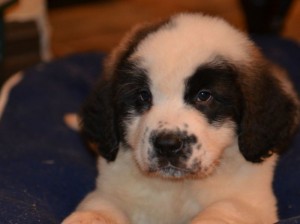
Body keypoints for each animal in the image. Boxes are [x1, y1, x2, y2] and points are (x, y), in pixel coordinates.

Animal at [62, 12, 298, 224]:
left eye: (204, 95)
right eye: (143, 95)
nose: (167, 145)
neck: (178, 188)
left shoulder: (251, 201)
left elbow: (224, 208)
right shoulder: (111, 189)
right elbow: (101, 206)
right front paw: (87, 219)